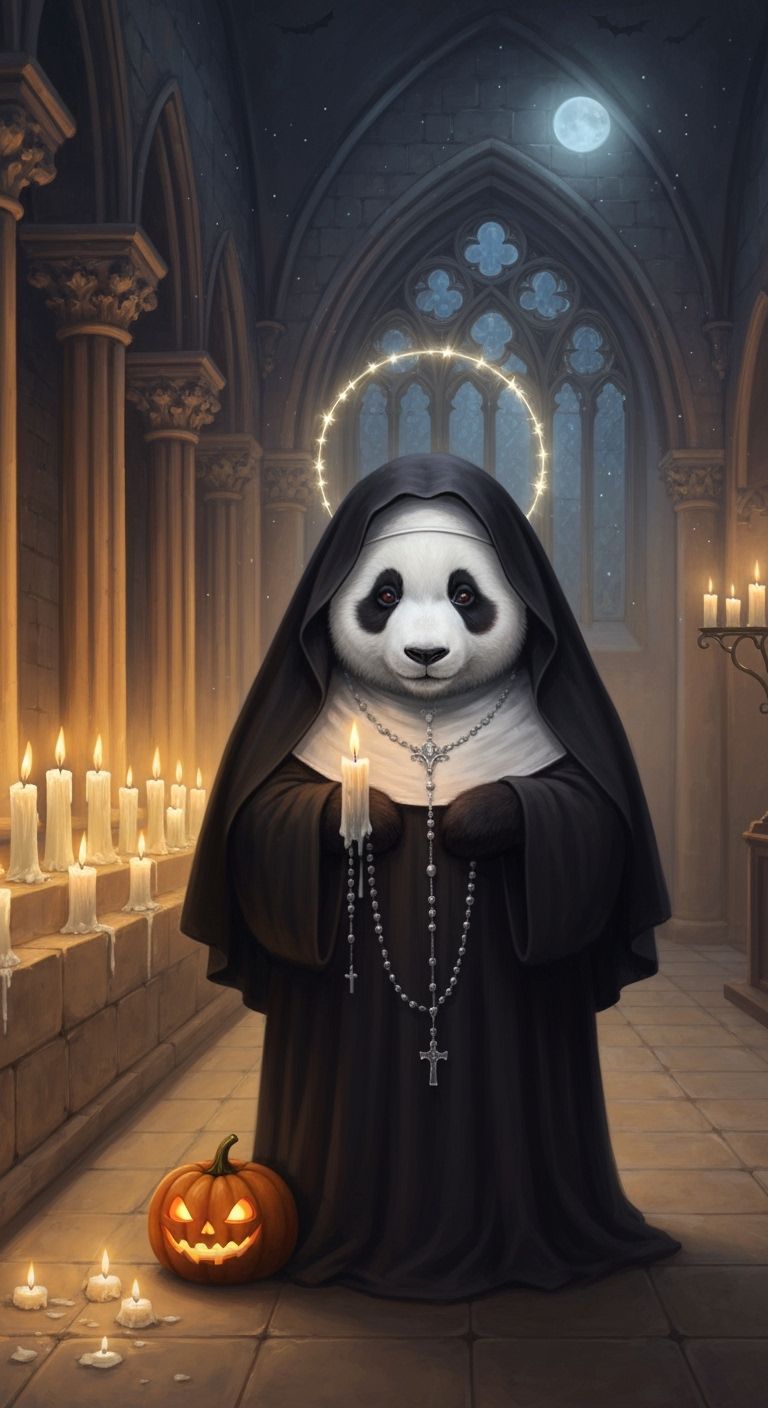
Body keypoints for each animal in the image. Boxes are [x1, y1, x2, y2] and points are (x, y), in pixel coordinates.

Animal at [182, 453, 681, 1301]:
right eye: (383, 594)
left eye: (465, 595)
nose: (423, 655)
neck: (429, 727)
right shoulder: (279, 770)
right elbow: (263, 829)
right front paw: (373, 819)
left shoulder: (581, 782)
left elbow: (586, 826)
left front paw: (475, 818)